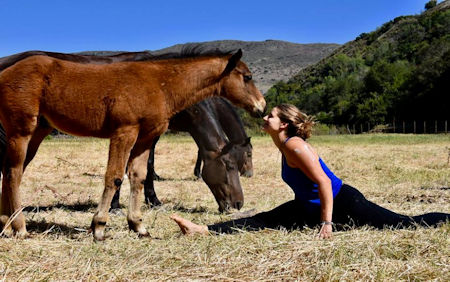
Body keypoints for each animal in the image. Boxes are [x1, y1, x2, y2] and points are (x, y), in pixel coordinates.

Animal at [0, 49, 266, 240]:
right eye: (247, 77)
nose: (261, 107)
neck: (161, 84)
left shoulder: (146, 137)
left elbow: (138, 176)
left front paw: (138, 225)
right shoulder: (124, 132)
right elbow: (115, 176)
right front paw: (99, 226)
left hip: (38, 131)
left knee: (10, 171)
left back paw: (5, 224)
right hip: (21, 130)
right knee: (14, 173)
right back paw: (20, 227)